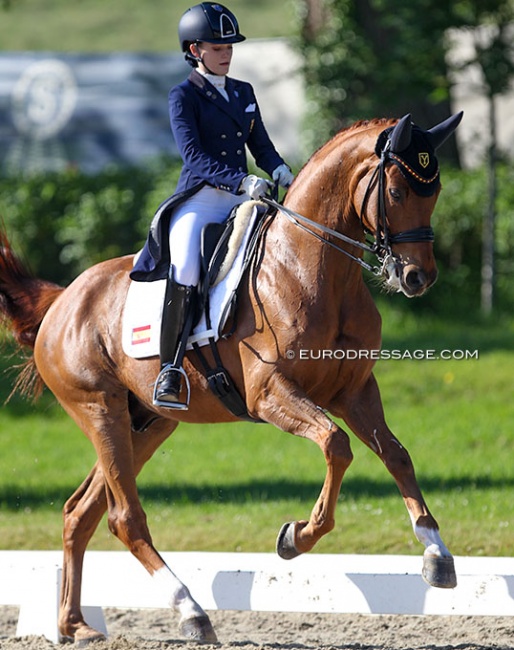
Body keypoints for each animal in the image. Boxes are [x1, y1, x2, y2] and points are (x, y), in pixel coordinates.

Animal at [0, 112, 462, 644]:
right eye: (398, 191)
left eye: (435, 190)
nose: (417, 279)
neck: (311, 269)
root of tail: (64, 299)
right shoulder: (270, 395)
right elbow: (335, 445)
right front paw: (296, 537)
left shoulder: (355, 392)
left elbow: (397, 455)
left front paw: (436, 554)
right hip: (100, 411)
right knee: (124, 517)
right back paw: (191, 612)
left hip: (148, 423)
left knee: (82, 512)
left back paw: (75, 625)